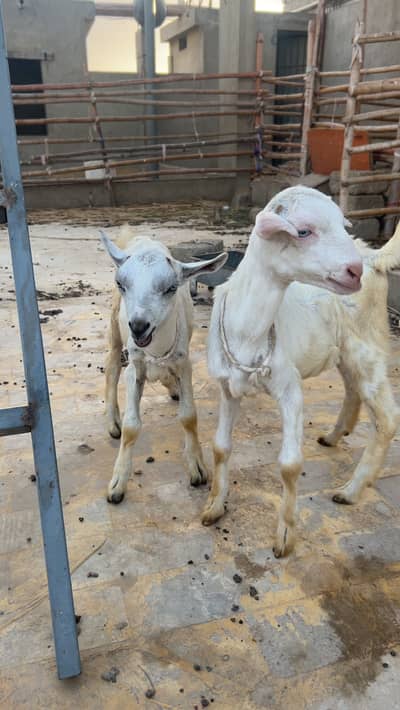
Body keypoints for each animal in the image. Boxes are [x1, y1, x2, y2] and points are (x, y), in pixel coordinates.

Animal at [100, 227, 227, 504]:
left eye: (171, 288)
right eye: (121, 284)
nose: (138, 326)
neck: (155, 349)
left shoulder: (183, 362)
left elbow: (189, 416)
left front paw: (197, 467)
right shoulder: (135, 365)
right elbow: (131, 427)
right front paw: (118, 482)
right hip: (115, 327)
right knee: (112, 366)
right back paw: (112, 420)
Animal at [203, 185, 400, 558]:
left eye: (341, 224)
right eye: (304, 231)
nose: (353, 271)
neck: (249, 331)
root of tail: (372, 256)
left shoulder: (289, 387)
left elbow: (290, 465)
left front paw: (285, 535)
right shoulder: (226, 386)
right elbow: (220, 447)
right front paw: (213, 507)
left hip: (368, 344)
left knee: (387, 417)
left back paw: (351, 490)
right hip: (343, 349)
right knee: (352, 390)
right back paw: (335, 435)